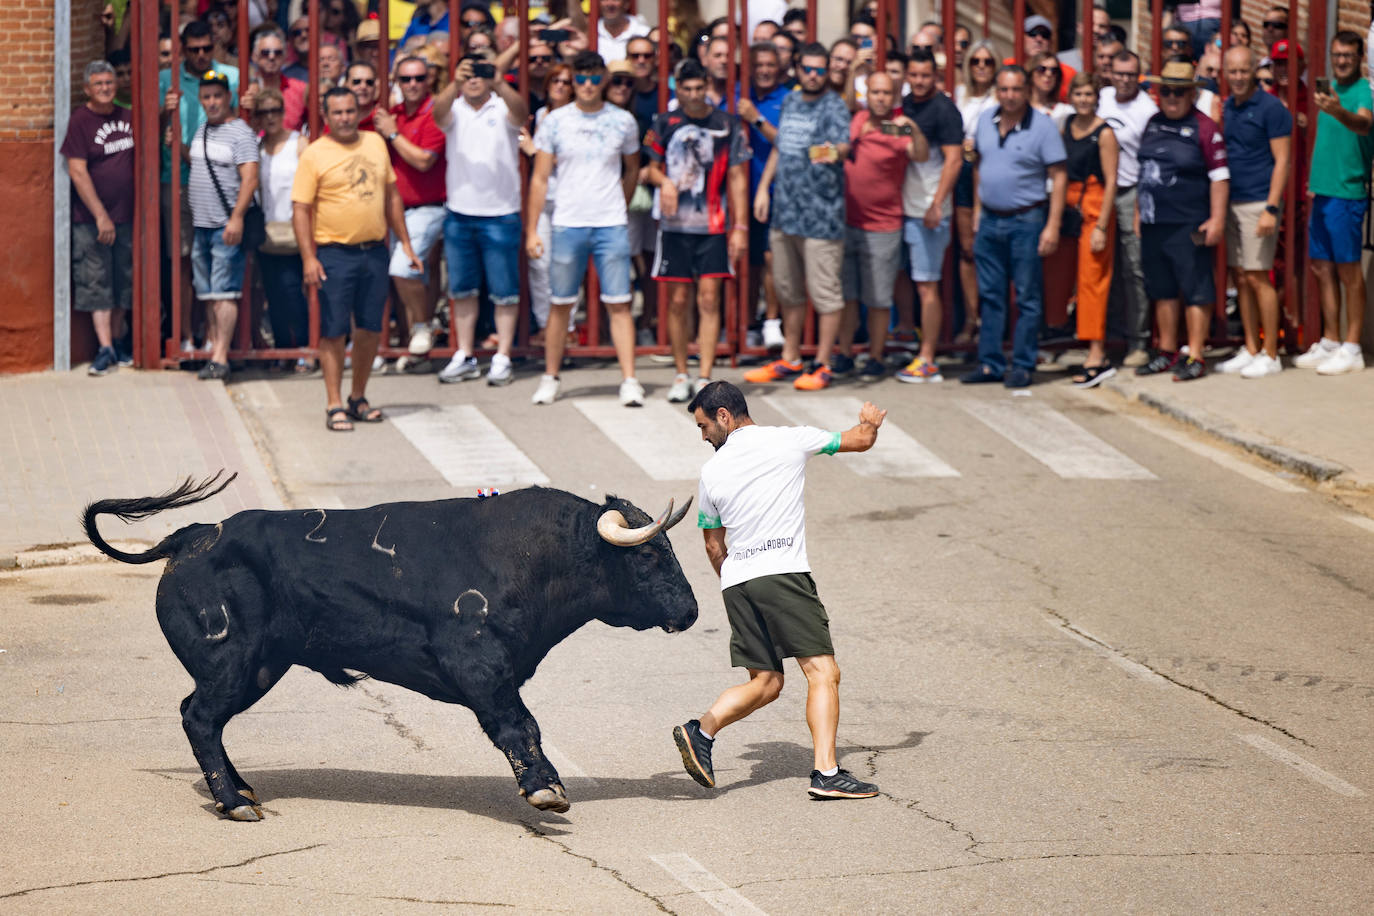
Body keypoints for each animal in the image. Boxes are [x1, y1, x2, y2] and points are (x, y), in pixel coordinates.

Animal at [83, 477, 697, 818]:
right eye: (649, 555)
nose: (690, 611)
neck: (535, 556)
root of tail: (194, 535)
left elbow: (524, 725)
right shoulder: (480, 666)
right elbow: (520, 726)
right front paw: (545, 790)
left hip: (259, 667)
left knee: (204, 719)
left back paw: (242, 792)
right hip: (229, 662)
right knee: (200, 718)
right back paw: (233, 804)